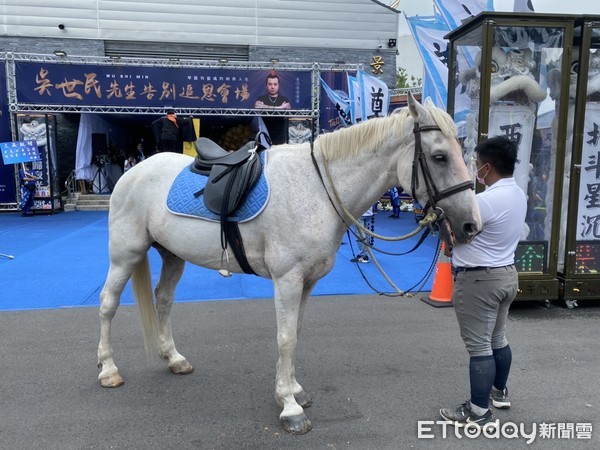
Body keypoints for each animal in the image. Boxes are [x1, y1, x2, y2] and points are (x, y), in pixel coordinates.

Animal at [98, 94, 482, 432]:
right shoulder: (288, 279)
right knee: (108, 304)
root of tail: (135, 171)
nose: (470, 225)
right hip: (125, 254)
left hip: (172, 255)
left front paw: (295, 389)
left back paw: (174, 358)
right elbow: (285, 338)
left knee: (163, 300)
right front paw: (289, 406)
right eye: (440, 156)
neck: (318, 189)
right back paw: (108, 369)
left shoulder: (307, 281)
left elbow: (296, 333)